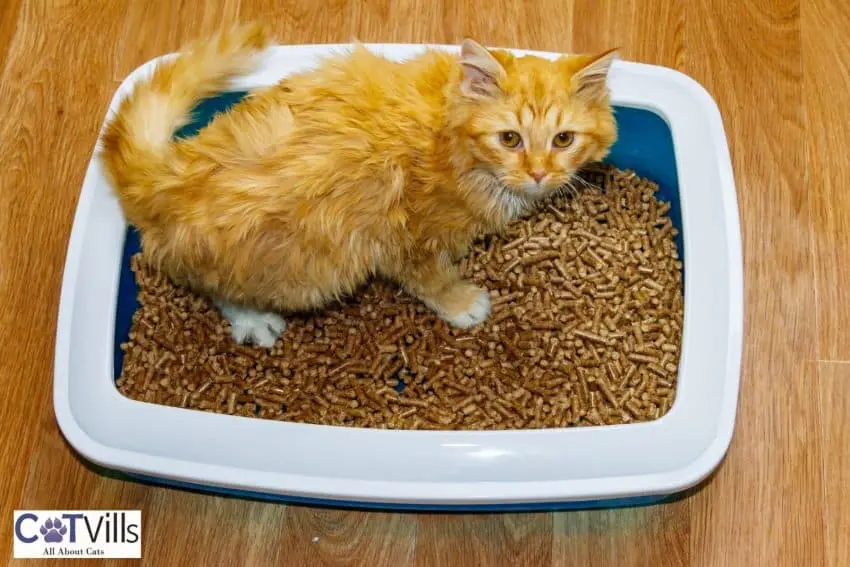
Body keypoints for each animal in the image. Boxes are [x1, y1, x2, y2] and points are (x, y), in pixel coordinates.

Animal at [101, 25, 616, 346]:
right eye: (510, 138)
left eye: (563, 139)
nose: (539, 173)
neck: (449, 136)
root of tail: (169, 170)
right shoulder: (403, 235)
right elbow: (430, 278)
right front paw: (462, 304)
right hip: (306, 266)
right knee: (209, 284)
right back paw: (254, 321)